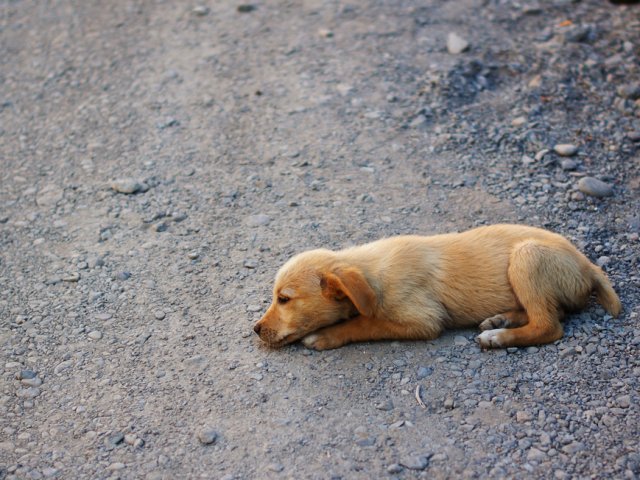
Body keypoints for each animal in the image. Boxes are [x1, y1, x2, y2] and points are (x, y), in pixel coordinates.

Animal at [254, 223, 620, 350]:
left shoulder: (423, 320)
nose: (255, 330)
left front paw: (327, 335)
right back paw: (500, 319)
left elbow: (365, 323)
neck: (371, 273)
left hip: (527, 257)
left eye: (284, 299)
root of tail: (587, 265)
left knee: (549, 325)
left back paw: (498, 337)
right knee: (550, 312)